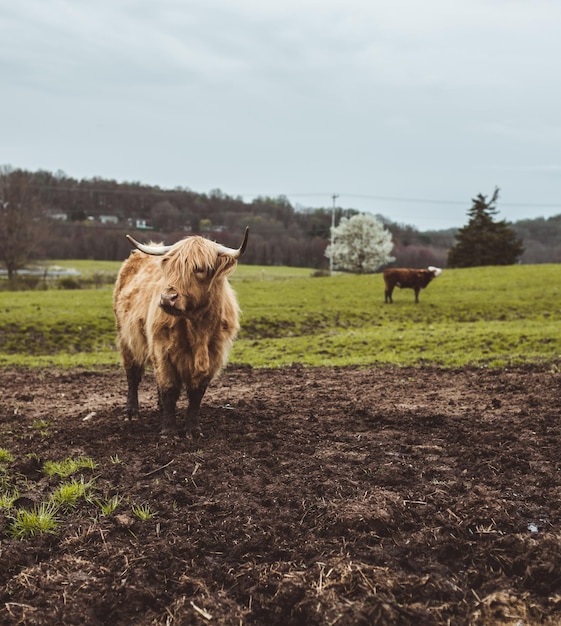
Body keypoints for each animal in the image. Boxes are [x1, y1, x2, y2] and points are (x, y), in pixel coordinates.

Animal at [112, 227, 248, 436]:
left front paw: (192, 429)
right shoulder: (162, 351)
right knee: (133, 374)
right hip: (126, 339)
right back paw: (131, 412)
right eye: (170, 267)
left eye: (200, 269)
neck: (197, 328)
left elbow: (196, 394)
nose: (167, 298)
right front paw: (169, 431)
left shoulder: (213, 356)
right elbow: (169, 389)